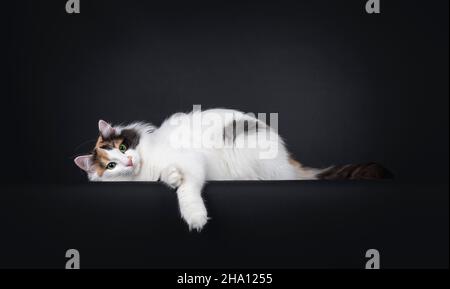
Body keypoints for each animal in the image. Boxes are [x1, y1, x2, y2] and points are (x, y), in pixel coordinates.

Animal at [74, 107, 390, 231]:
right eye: (111, 165)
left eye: (122, 147)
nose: (128, 161)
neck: (146, 166)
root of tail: (288, 159)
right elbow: (172, 178)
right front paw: (171, 177)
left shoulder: (192, 163)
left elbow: (188, 190)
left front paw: (195, 217)